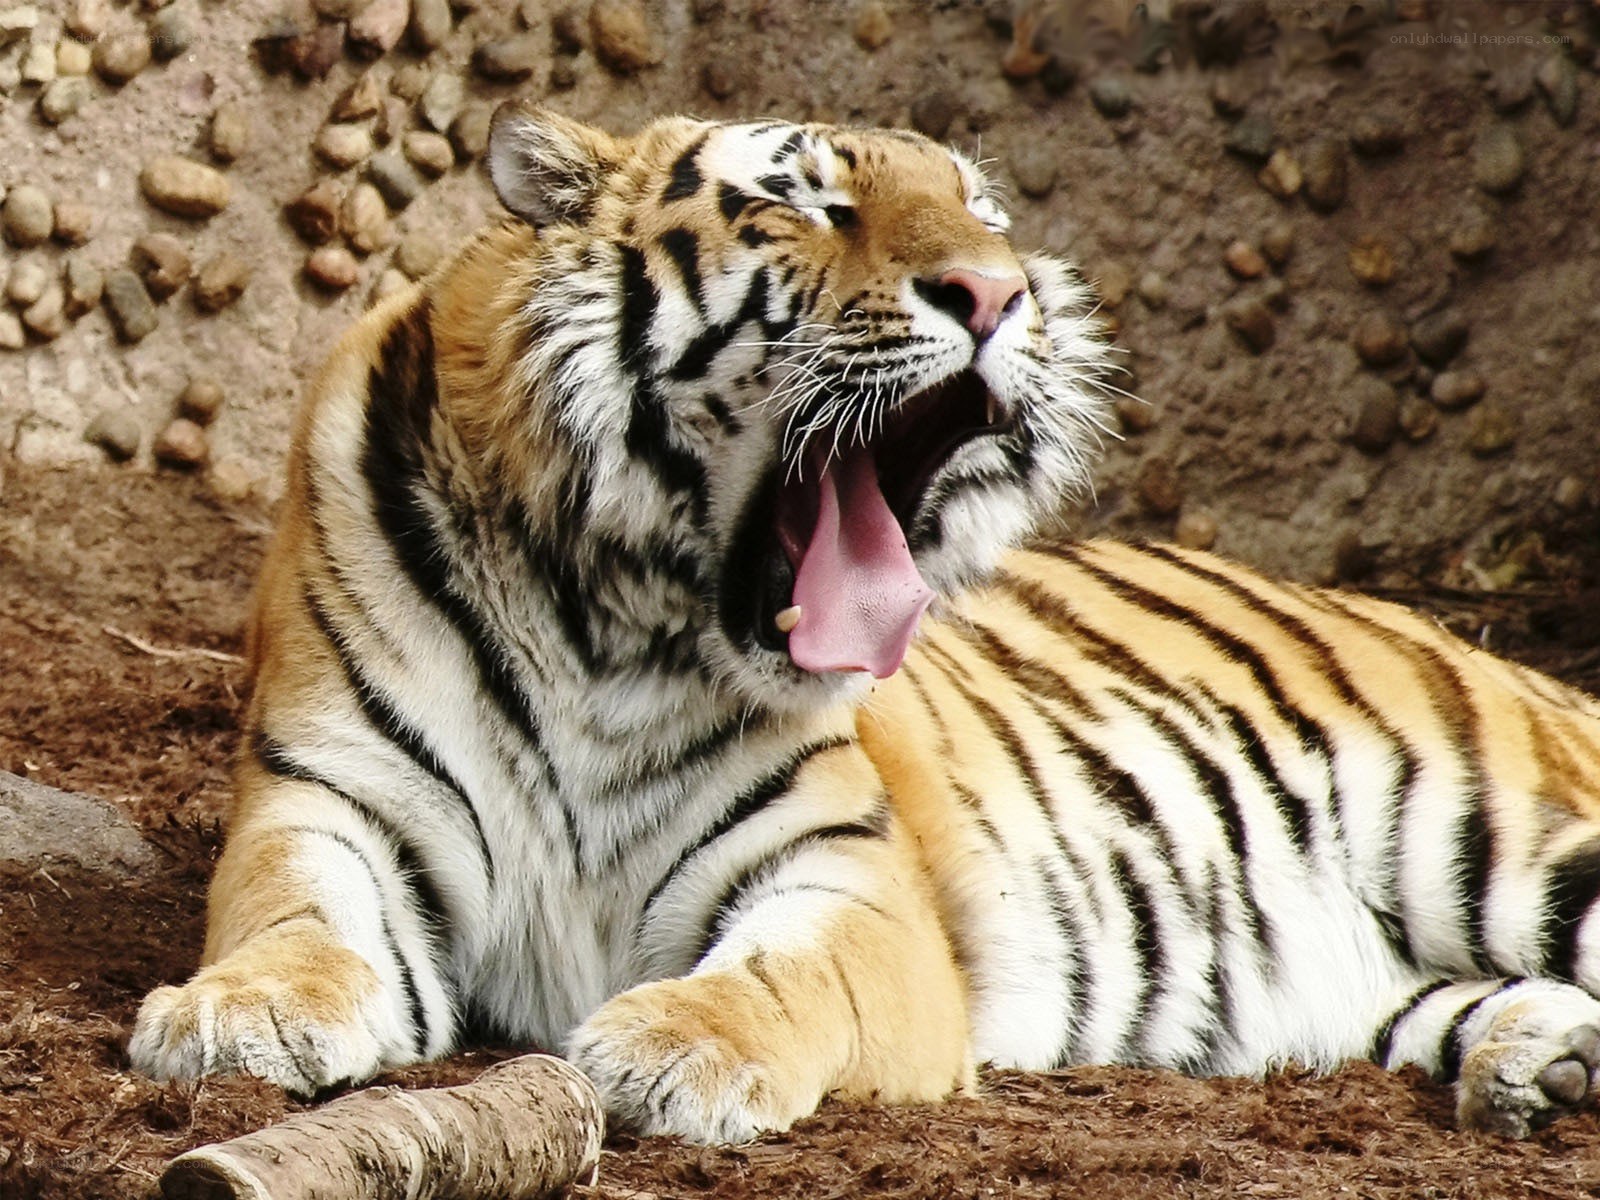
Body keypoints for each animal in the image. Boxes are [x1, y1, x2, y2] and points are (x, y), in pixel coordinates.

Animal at [129, 104, 1600, 1145]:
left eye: (982, 211)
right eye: (805, 203)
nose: (1003, 294)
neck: (613, 622)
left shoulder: (843, 878)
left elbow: (781, 980)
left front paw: (677, 1050)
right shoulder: (332, 801)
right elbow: (296, 916)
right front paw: (242, 1018)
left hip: (1521, 841)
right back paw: (1547, 1063)